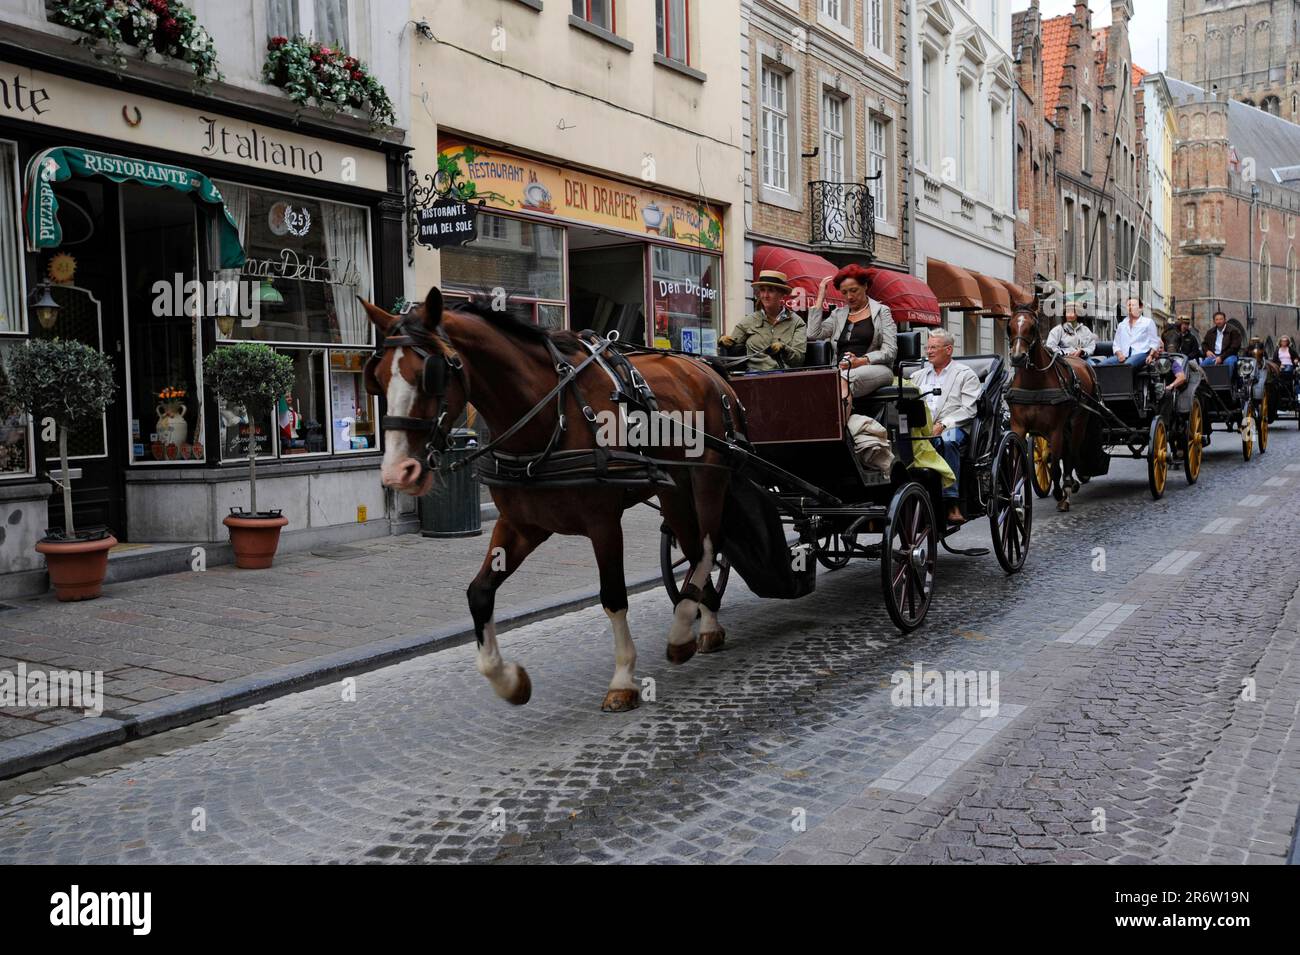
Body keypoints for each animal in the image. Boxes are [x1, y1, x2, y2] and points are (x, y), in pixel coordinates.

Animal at [361, 287, 743, 712]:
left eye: (430, 375)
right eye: (377, 378)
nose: (397, 472)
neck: (551, 417)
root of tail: (708, 368)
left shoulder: (603, 521)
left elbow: (613, 596)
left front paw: (623, 680)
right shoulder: (521, 524)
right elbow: (479, 593)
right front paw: (509, 681)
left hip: (710, 474)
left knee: (709, 545)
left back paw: (687, 631)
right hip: (671, 484)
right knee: (694, 549)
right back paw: (699, 624)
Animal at [1003, 306, 1097, 514]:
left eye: (1032, 327)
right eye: (1010, 326)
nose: (1017, 358)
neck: (1034, 385)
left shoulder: (1055, 429)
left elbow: (1055, 467)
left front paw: (1060, 495)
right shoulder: (1018, 427)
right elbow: (1017, 464)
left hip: (1078, 421)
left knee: (1072, 452)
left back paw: (1069, 486)